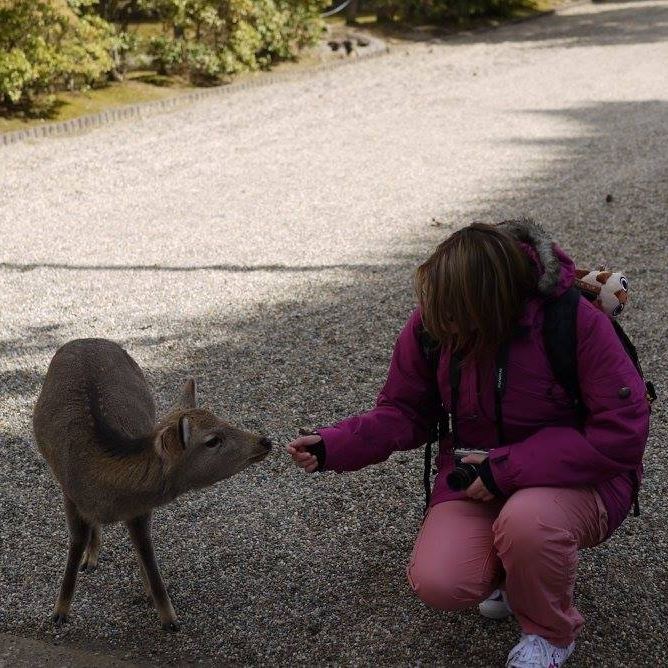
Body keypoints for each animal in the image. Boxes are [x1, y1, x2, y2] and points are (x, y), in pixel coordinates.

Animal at [34, 340, 272, 632]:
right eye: (212, 440)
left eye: (224, 420)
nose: (264, 441)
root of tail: (86, 340)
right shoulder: (70, 494)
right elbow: (76, 543)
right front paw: (59, 613)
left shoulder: (140, 509)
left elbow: (145, 550)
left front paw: (167, 616)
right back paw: (90, 559)